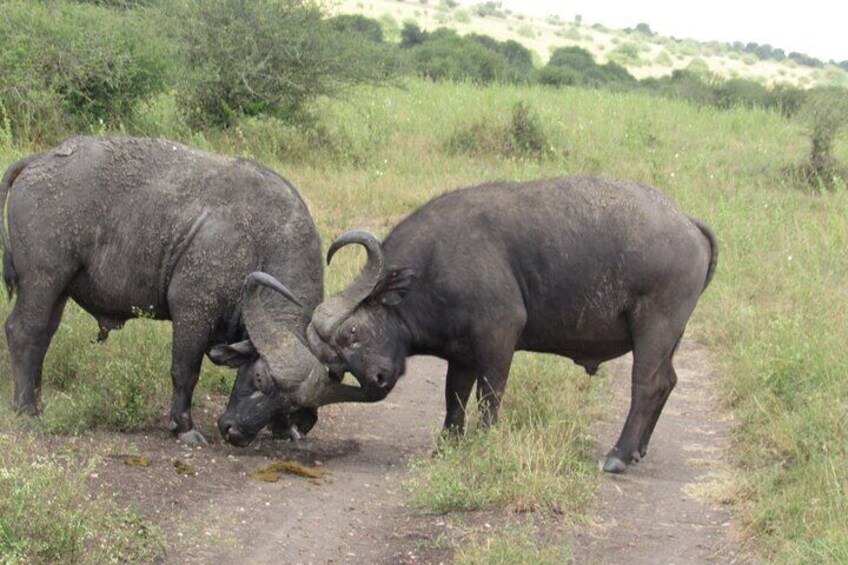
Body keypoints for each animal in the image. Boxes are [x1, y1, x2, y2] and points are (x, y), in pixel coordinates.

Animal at [2, 137, 368, 446]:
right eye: (259, 379)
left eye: (286, 405)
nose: (235, 432)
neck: (261, 240)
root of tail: (37, 161)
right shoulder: (192, 312)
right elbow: (185, 371)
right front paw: (184, 427)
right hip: (43, 280)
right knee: (24, 331)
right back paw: (26, 408)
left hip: (59, 289)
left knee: (43, 338)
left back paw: (37, 401)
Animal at [304, 176, 716, 472]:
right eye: (337, 362)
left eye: (353, 333)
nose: (376, 380)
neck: (433, 265)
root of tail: (687, 222)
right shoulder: (462, 354)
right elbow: (454, 397)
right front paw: (448, 444)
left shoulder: (499, 335)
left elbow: (490, 394)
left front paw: (483, 441)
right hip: (671, 338)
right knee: (667, 382)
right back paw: (637, 451)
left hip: (655, 328)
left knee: (647, 386)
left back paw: (618, 455)